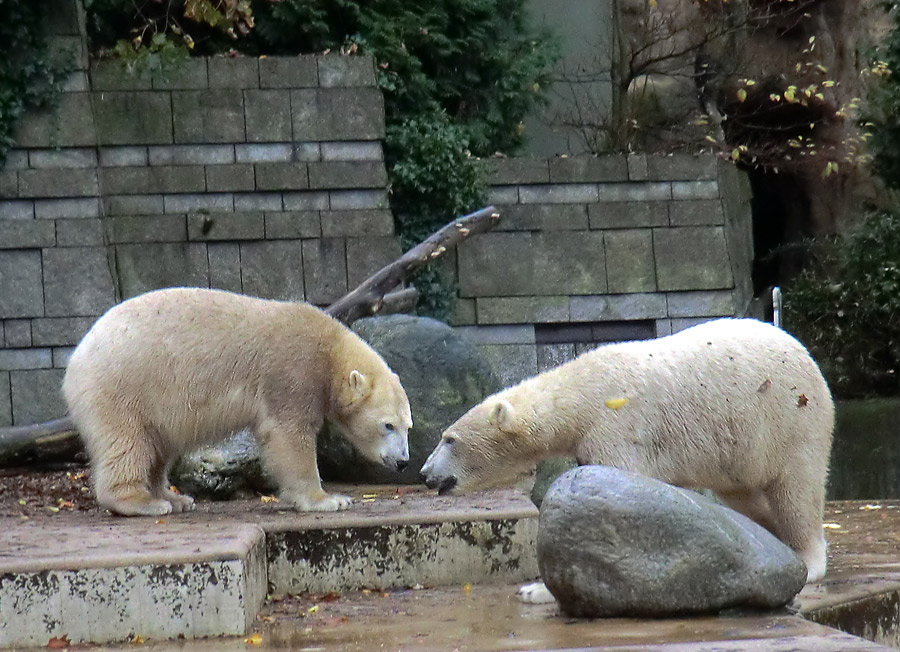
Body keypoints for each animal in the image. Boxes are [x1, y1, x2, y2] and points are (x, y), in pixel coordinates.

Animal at [63, 288, 412, 516]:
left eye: (408, 426)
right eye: (387, 425)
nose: (403, 461)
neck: (331, 350)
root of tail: (77, 356)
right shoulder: (292, 373)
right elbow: (289, 436)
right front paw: (328, 499)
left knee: (158, 446)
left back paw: (176, 499)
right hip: (125, 385)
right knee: (128, 442)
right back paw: (143, 502)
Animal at [422, 318, 836, 600]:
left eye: (449, 439)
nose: (426, 473)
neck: (580, 393)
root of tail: (807, 355)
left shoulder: (617, 424)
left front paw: (536, 589)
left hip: (789, 418)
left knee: (796, 490)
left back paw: (806, 559)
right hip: (739, 446)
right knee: (744, 494)